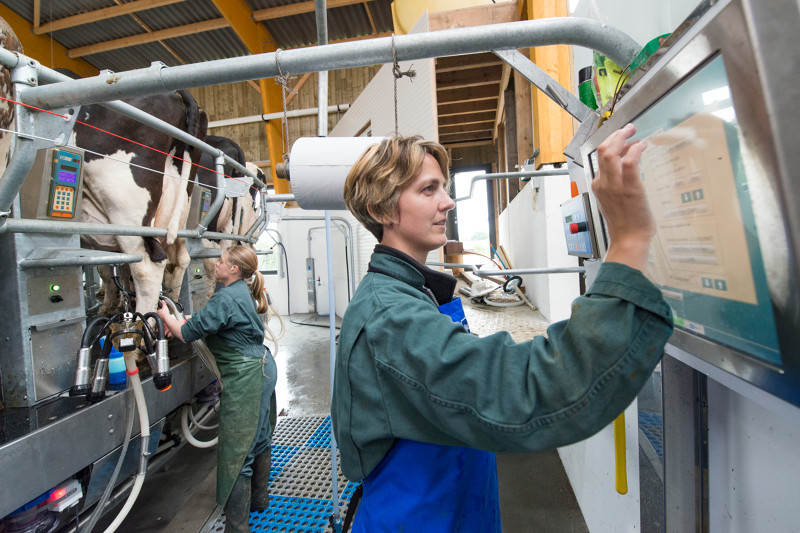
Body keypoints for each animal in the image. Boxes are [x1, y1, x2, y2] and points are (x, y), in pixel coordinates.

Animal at [73, 90, 208, 316]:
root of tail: (175, 93)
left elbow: (107, 268)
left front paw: (109, 306)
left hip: (124, 207)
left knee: (146, 268)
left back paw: (144, 319)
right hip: (177, 211)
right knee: (178, 260)